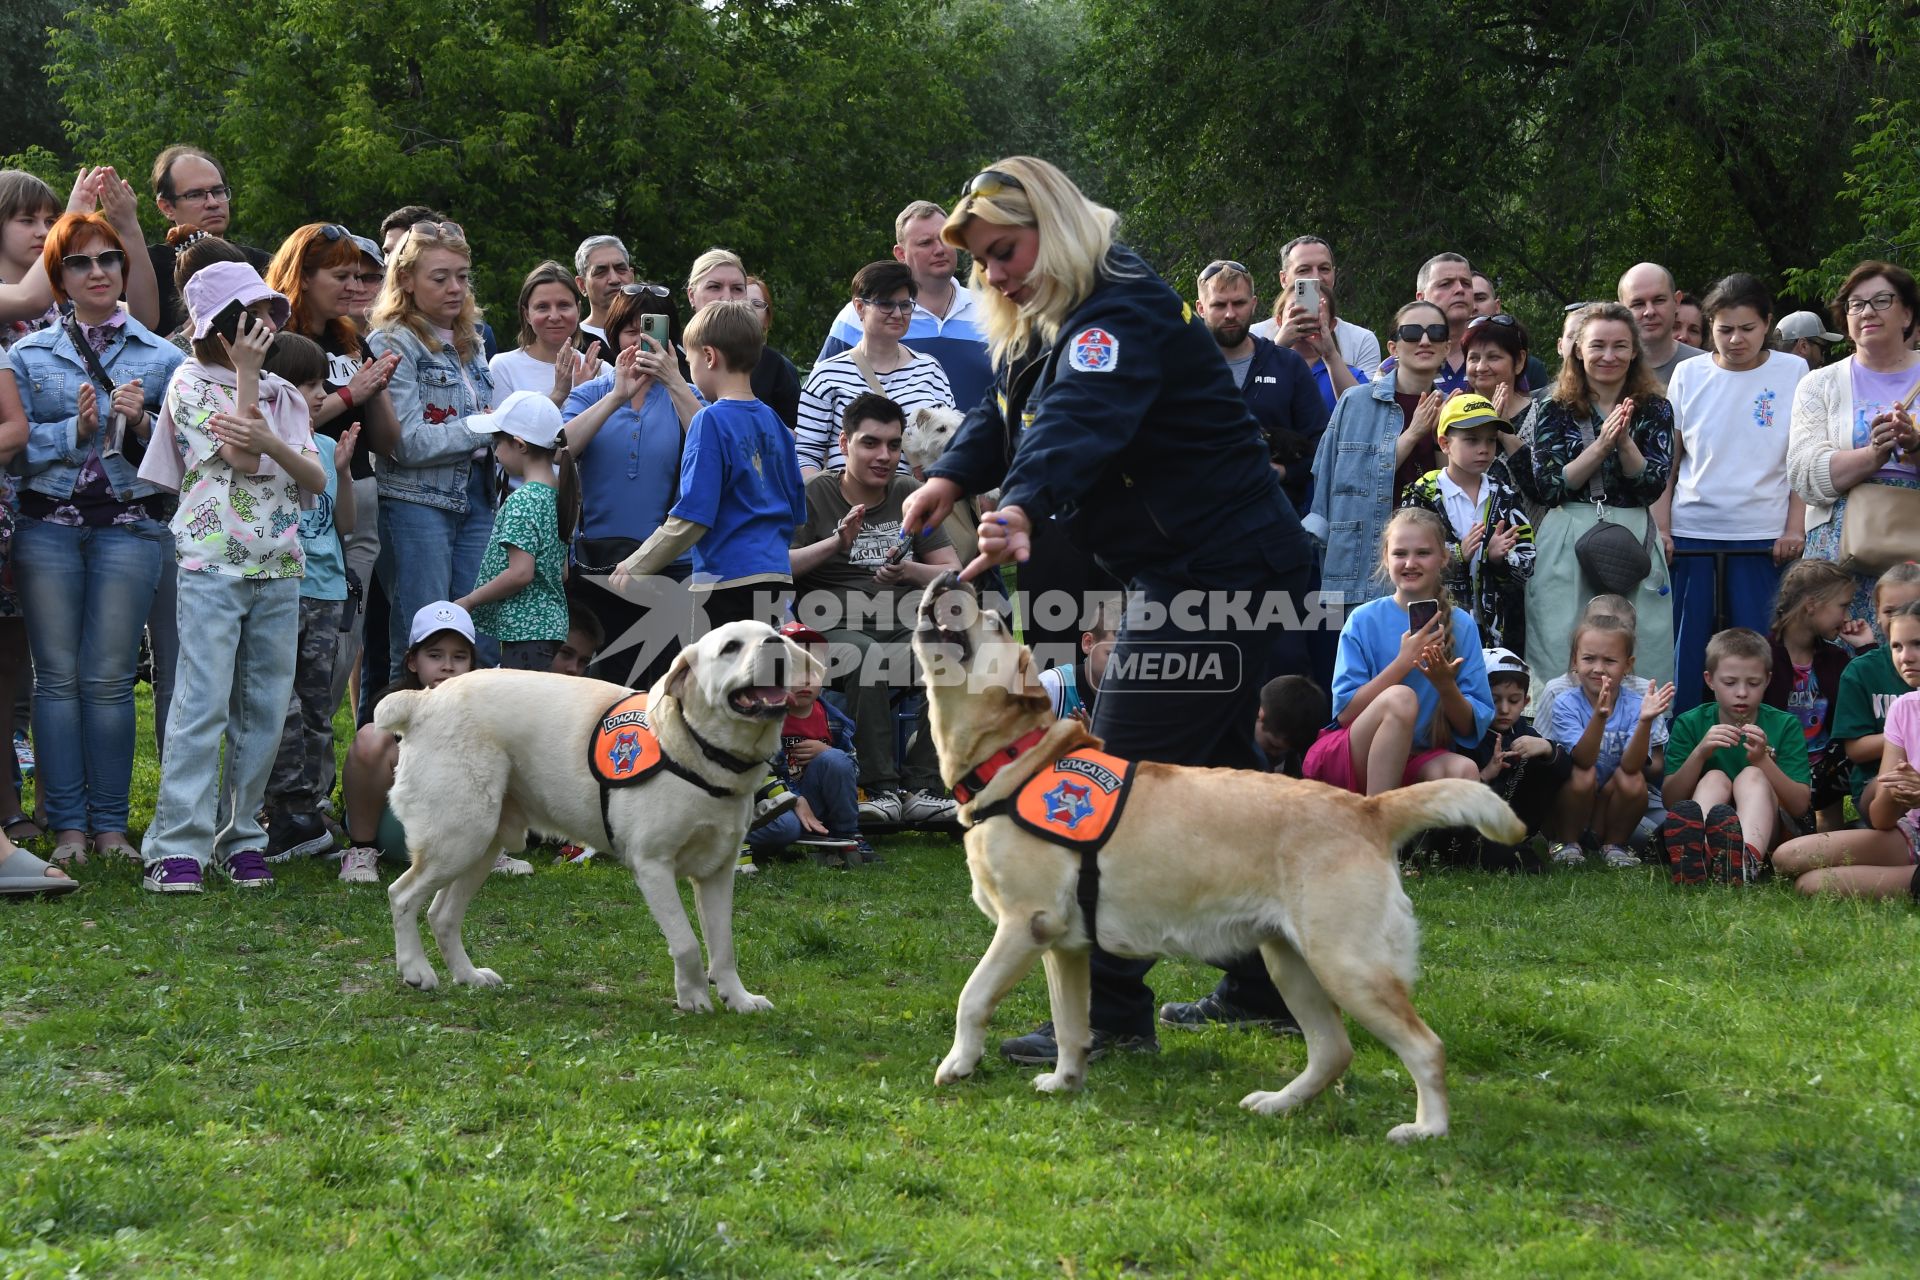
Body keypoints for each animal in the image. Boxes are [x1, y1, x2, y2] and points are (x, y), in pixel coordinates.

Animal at [368, 621, 810, 1013]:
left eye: (772, 635)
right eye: (731, 647)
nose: (775, 647)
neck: (703, 753)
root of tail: (426, 699)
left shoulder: (717, 872)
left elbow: (724, 945)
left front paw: (738, 998)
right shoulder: (653, 865)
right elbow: (686, 943)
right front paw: (694, 997)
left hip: (480, 844)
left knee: (441, 914)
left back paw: (469, 975)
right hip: (459, 837)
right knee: (402, 895)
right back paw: (417, 971)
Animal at [906, 571, 1520, 1143]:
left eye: (992, 621)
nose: (951, 576)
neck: (1010, 759)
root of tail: (1367, 808)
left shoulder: (1026, 923)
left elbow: (972, 996)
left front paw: (958, 1063)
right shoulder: (1066, 946)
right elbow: (1070, 1023)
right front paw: (1065, 1081)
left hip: (1349, 964)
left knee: (1426, 1047)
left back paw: (1426, 1130)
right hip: (1291, 960)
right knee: (1333, 1049)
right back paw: (1277, 1103)